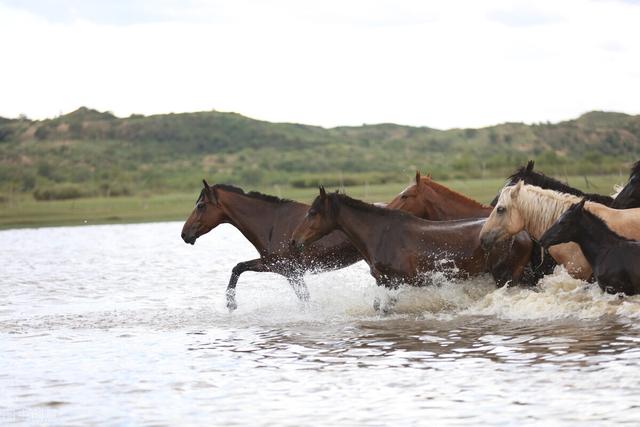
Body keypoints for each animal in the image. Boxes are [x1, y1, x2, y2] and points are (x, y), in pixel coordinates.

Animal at [292, 188, 532, 290]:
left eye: (313, 212)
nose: (294, 240)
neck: (380, 234)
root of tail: (524, 234)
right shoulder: (383, 282)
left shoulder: (397, 281)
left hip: (504, 278)